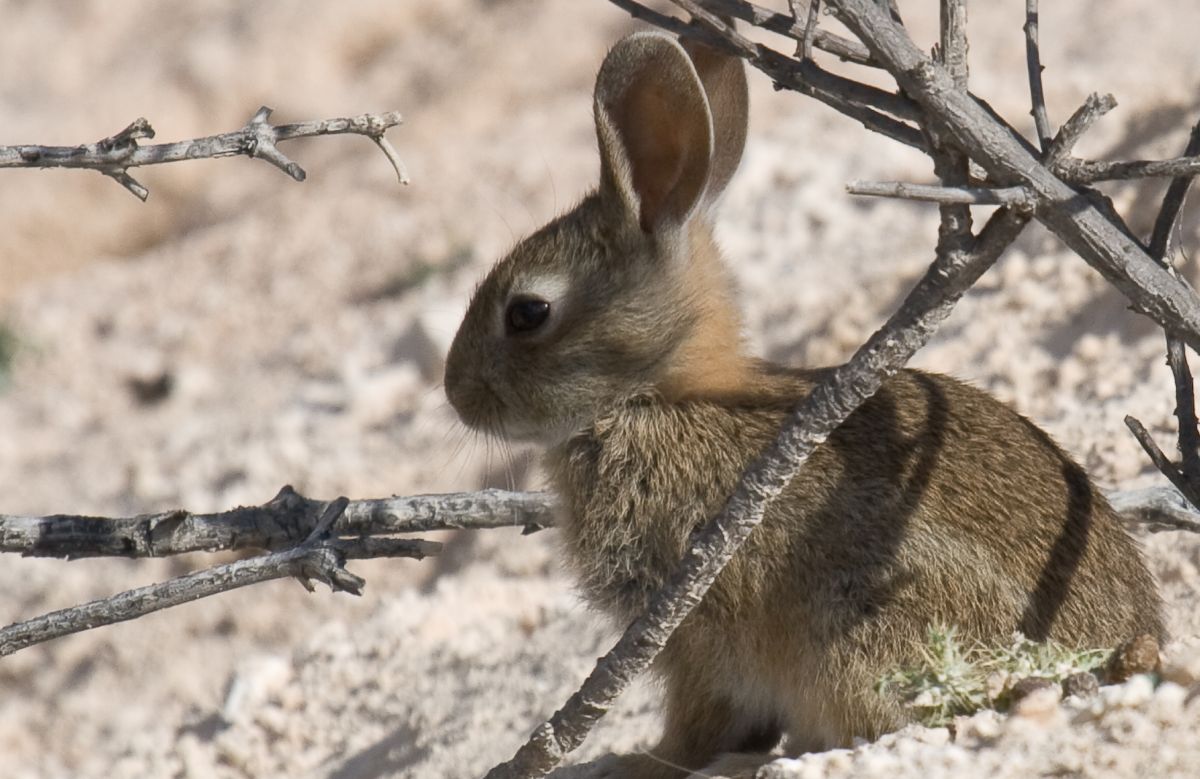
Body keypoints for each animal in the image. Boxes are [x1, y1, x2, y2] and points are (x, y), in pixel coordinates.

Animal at [441, 28, 1161, 777]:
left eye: (528, 313)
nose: (456, 392)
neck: (654, 396)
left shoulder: (691, 621)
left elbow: (698, 719)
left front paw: (637, 762)